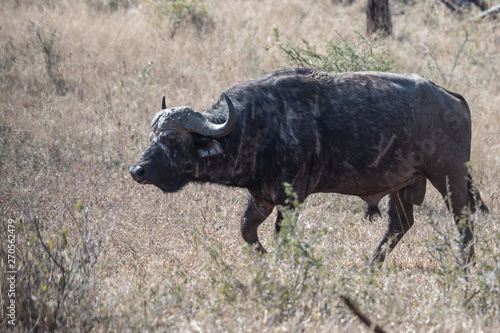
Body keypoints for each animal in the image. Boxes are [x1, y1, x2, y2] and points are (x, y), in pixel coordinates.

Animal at [129, 68, 488, 264]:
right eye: (152, 136)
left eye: (171, 139)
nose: (137, 171)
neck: (255, 124)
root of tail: (451, 97)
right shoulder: (261, 196)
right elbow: (246, 231)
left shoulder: (291, 197)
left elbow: (281, 236)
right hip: (401, 185)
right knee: (400, 225)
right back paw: (370, 266)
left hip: (449, 176)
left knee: (463, 219)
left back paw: (466, 267)